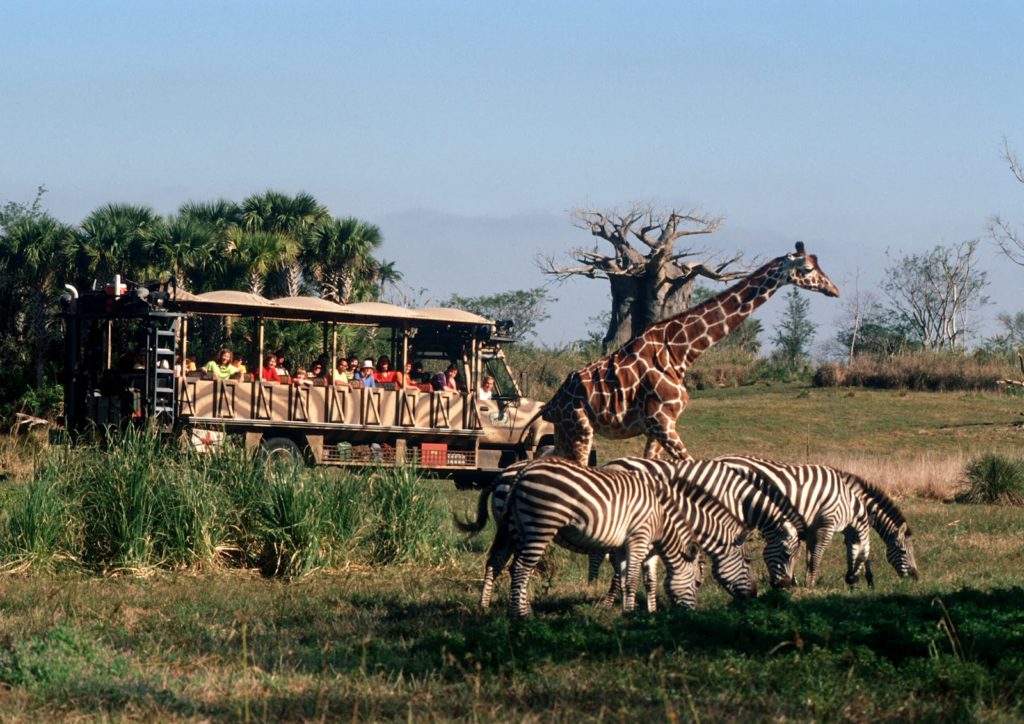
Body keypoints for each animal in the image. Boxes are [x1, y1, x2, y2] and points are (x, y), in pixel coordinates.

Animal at [540, 243, 835, 464]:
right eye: (807, 268)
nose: (833, 289)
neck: (681, 352)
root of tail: (552, 403)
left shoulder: (657, 426)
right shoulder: (662, 422)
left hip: (565, 432)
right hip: (580, 427)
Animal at [712, 458, 872, 589]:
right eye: (865, 557)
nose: (852, 580)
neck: (847, 504)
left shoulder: (811, 530)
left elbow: (809, 558)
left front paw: (804, 583)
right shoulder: (827, 524)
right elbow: (816, 557)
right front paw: (810, 586)